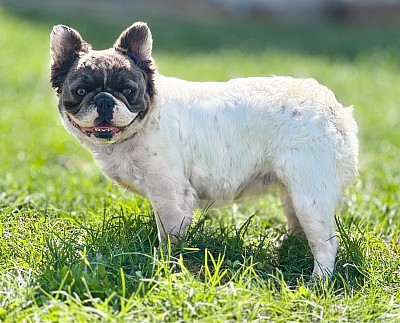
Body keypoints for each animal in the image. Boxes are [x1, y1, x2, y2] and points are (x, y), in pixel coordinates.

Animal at [50, 21, 360, 278]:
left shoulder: (172, 198)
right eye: (80, 92)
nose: (104, 100)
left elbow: (169, 239)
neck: (144, 124)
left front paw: (163, 265)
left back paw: (319, 279)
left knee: (326, 243)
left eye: (128, 91)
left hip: (311, 196)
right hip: (293, 191)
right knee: (297, 221)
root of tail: (332, 108)